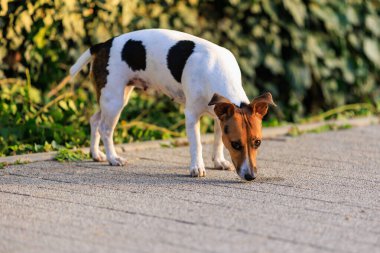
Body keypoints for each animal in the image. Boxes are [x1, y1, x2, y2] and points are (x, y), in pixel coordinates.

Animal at [70, 28, 274, 181]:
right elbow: (197, 144)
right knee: (105, 129)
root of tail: (103, 44)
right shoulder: (191, 115)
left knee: (94, 120)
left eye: (257, 142)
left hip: (113, 98)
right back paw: (113, 158)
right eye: (236, 144)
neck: (215, 71)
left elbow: (217, 141)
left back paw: (96, 154)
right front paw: (197, 167)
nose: (251, 176)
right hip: (114, 100)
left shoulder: (219, 116)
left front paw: (218, 161)